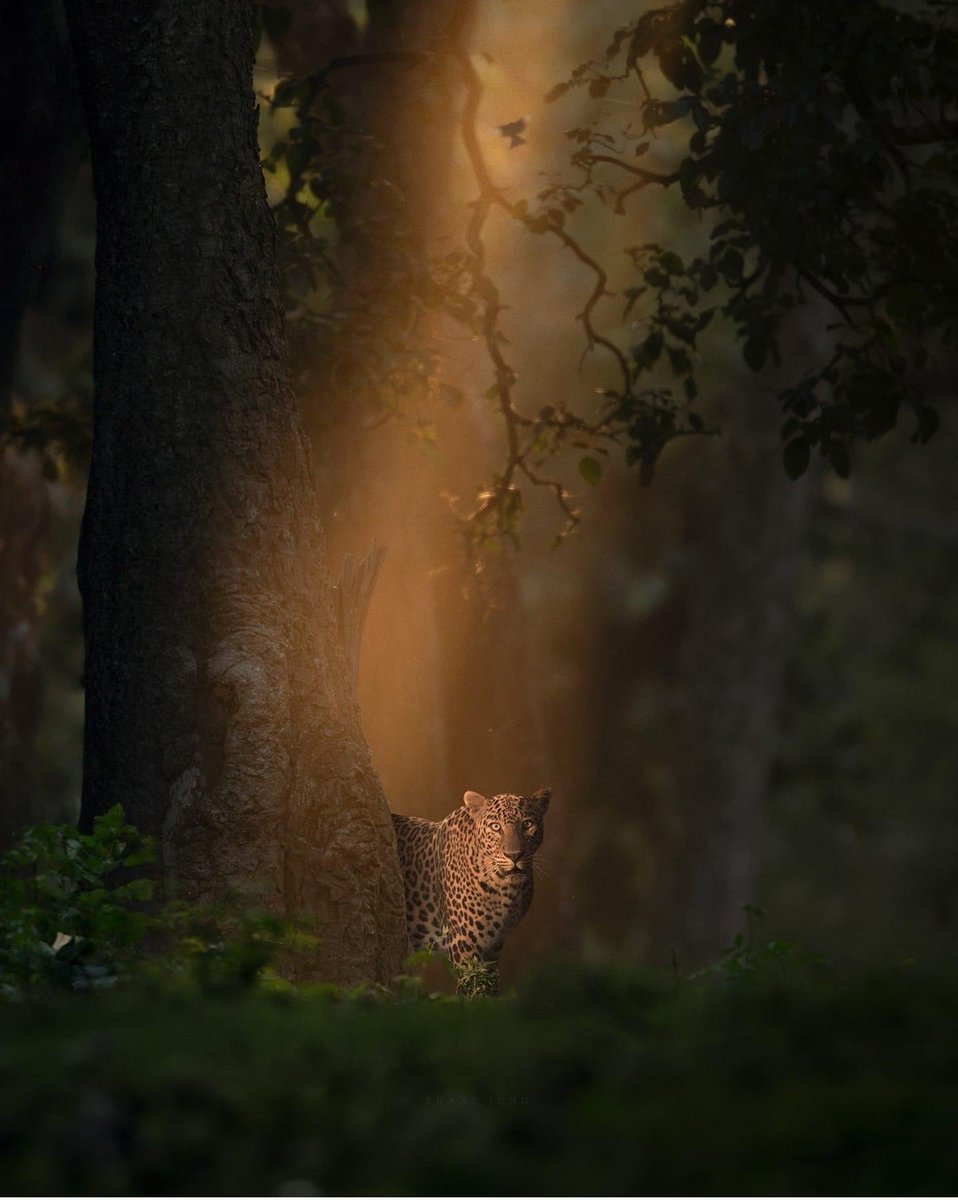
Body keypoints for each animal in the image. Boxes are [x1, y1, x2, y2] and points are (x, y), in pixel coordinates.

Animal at [391, 787, 554, 974]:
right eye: (495, 826)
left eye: (527, 824)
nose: (514, 855)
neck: (506, 890)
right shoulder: (463, 946)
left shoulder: (493, 947)